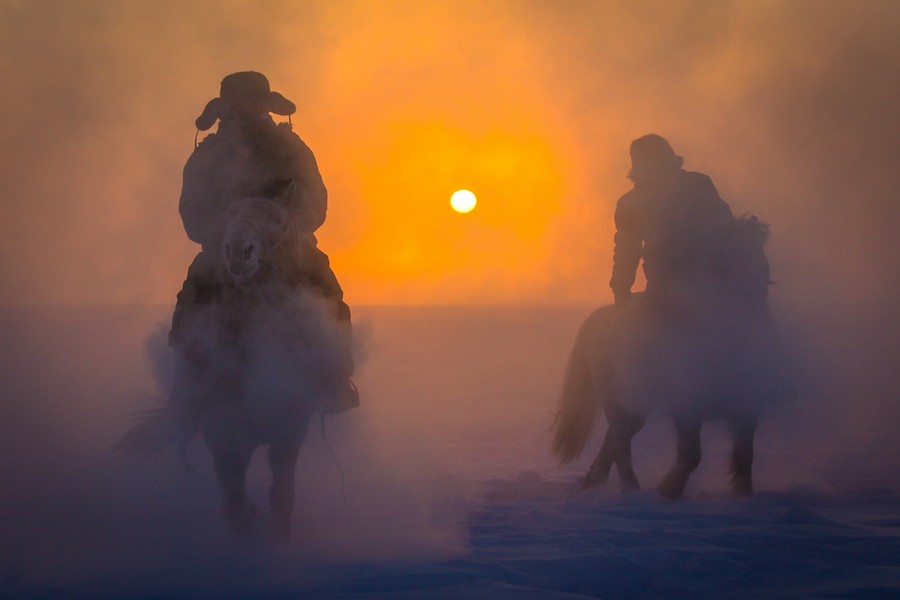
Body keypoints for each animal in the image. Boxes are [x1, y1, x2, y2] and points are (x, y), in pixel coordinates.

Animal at [116, 196, 348, 540]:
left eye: (274, 220)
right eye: (226, 215)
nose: (239, 250)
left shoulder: (293, 424)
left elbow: (282, 486)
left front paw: (279, 535)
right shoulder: (220, 424)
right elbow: (232, 479)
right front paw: (243, 531)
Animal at [548, 218, 788, 500]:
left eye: (761, 256)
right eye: (729, 257)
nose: (755, 294)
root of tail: (603, 317)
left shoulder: (747, 406)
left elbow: (744, 456)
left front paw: (743, 495)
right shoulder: (686, 408)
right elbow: (692, 455)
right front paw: (669, 490)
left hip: (636, 408)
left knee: (614, 438)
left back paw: (594, 482)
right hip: (619, 400)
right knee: (620, 442)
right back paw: (630, 490)